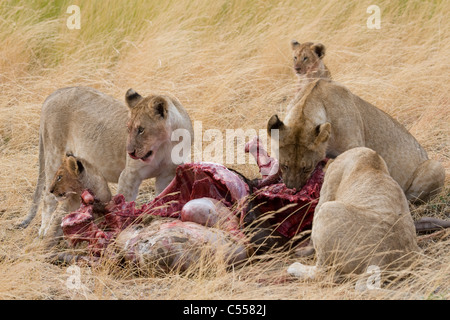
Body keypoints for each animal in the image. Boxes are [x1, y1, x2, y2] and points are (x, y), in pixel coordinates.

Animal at [18, 86, 193, 239]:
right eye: (128, 129)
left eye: (141, 129)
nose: (129, 152)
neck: (165, 144)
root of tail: (55, 93)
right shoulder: (130, 175)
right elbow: (124, 202)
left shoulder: (167, 175)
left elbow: (163, 197)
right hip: (54, 153)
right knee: (48, 197)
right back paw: (44, 232)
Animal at [286, 147, 420, 280]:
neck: (372, 161)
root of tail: (380, 260)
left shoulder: (329, 184)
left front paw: (306, 249)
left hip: (328, 210)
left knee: (321, 271)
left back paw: (294, 267)